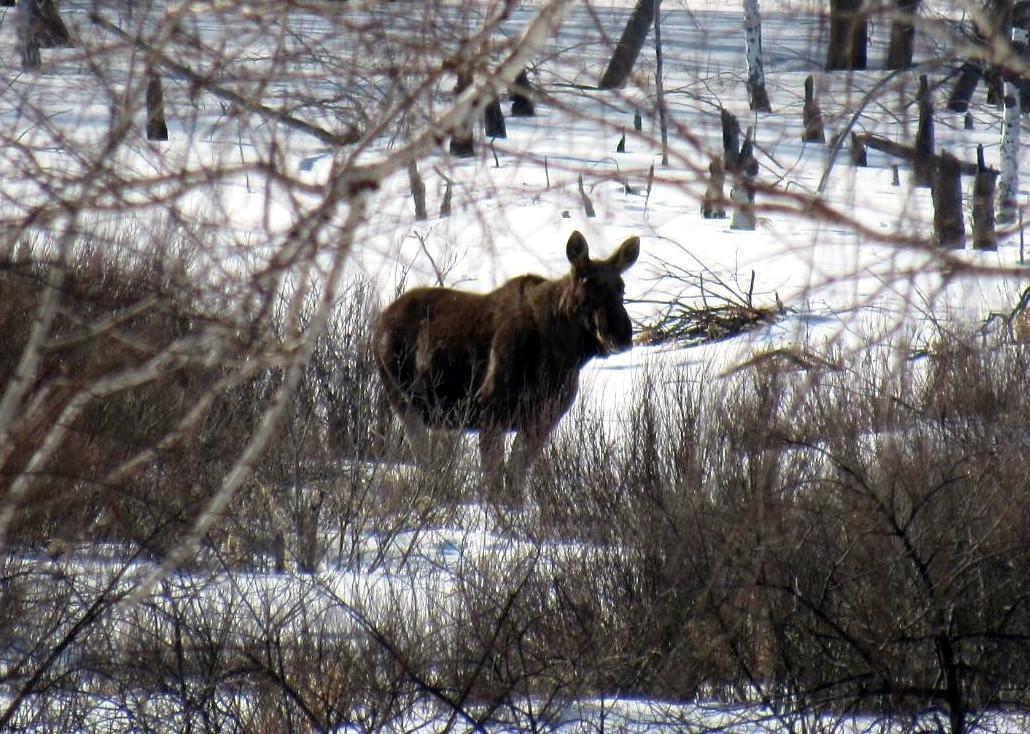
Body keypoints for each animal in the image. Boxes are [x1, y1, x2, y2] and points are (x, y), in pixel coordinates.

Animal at [374, 231, 640, 505]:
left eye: (621, 288)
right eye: (587, 285)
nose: (620, 335)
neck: (563, 357)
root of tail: (380, 321)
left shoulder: (545, 415)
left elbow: (517, 474)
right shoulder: (491, 407)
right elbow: (494, 478)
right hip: (402, 398)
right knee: (424, 457)